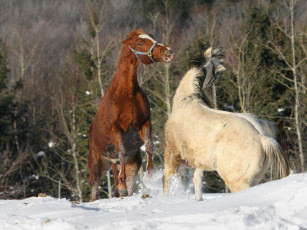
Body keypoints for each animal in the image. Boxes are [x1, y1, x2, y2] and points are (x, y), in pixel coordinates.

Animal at [89, 29, 174, 201]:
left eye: (152, 37)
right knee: (94, 187)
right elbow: (122, 151)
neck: (127, 93)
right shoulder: (116, 129)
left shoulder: (144, 123)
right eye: (140, 43)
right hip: (97, 164)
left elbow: (149, 145)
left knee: (128, 184)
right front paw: (122, 184)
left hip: (130, 163)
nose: (167, 52)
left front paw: (150, 176)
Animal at [162, 47, 290, 200]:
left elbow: (167, 181)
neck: (186, 99)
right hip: (253, 180)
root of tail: (263, 139)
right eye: (215, 72)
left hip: (236, 182)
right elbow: (197, 181)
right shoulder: (199, 162)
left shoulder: (171, 154)